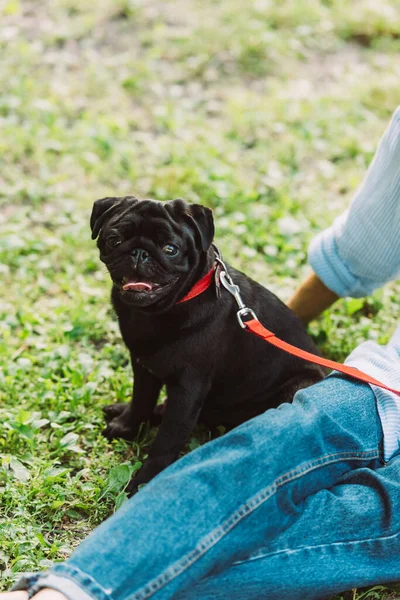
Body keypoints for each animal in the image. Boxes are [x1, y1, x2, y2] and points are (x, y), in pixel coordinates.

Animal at [91, 197, 324, 496]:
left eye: (170, 249)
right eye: (114, 239)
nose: (139, 253)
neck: (158, 312)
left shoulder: (187, 389)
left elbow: (166, 442)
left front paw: (144, 483)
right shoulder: (144, 368)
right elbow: (140, 401)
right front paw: (126, 426)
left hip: (297, 388)